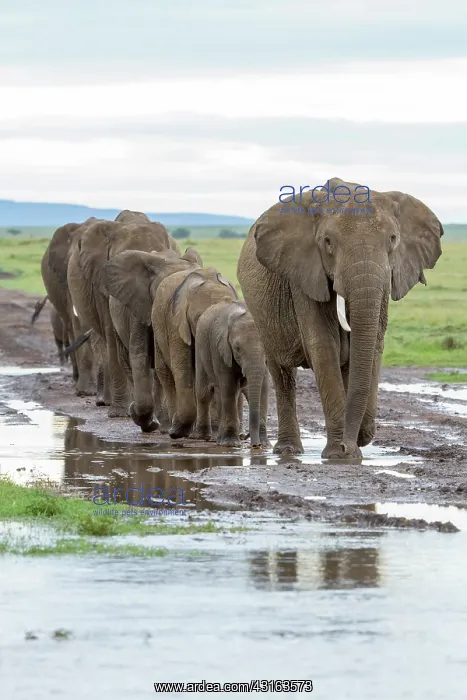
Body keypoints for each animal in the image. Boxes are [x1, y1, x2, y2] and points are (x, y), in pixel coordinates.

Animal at [152, 267, 238, 439]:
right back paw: (171, 427)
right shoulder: (176, 324)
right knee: (166, 374)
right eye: (198, 317)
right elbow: (182, 370)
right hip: (157, 327)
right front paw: (178, 430)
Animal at [194, 300, 270, 448]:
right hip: (200, 347)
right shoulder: (220, 349)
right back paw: (204, 437)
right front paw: (231, 444)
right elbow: (229, 387)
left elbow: (263, 389)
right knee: (205, 393)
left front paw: (265, 445)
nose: (254, 445)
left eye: (266, 347)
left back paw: (219, 439)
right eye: (237, 349)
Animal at [237, 177, 443, 459]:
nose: (348, 445)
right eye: (327, 242)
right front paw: (339, 454)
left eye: (392, 239)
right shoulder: (305, 274)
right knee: (282, 373)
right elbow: (324, 346)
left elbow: (372, 345)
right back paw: (288, 450)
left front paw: (358, 439)